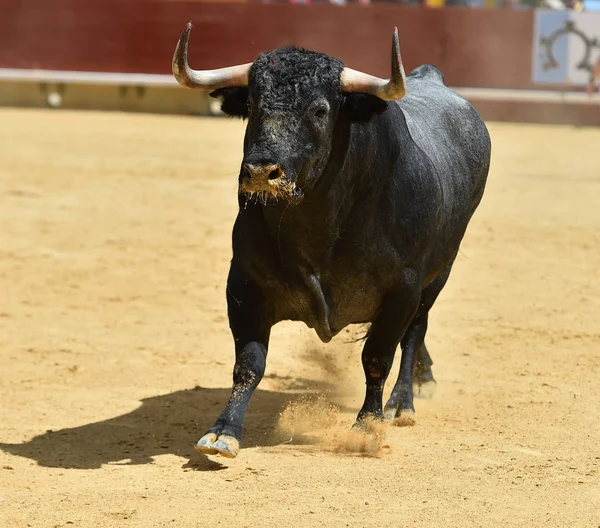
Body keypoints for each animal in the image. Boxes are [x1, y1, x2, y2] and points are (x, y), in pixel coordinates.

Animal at [171, 23, 490, 458]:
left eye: (320, 110)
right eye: (252, 104)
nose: (261, 171)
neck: (317, 224)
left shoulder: (403, 287)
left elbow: (377, 357)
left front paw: (367, 425)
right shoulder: (243, 283)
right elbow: (248, 362)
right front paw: (223, 432)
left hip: (440, 272)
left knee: (414, 332)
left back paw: (402, 402)